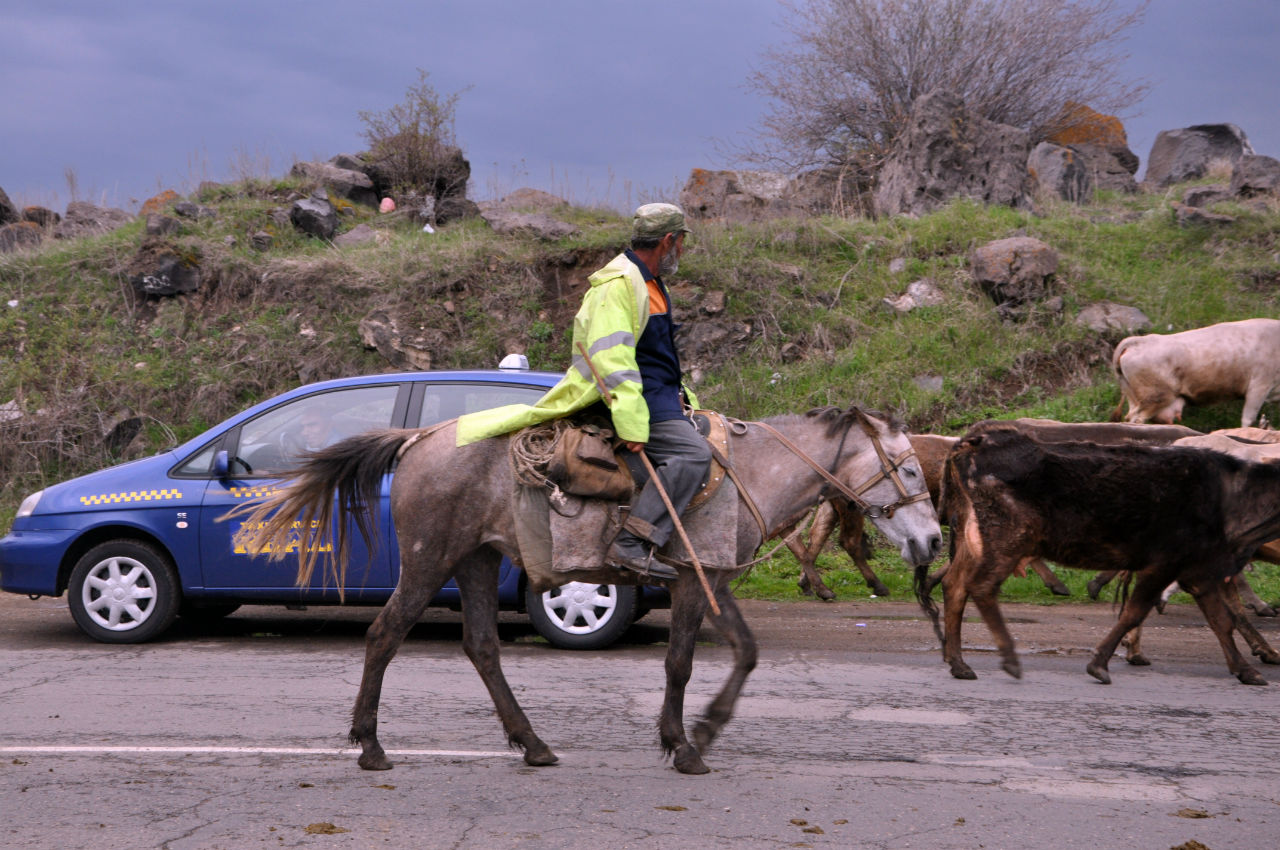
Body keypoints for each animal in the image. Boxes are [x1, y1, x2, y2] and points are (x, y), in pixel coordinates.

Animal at [232, 407, 942, 778]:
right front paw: (684, 744)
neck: (746, 474)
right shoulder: (695, 583)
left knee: (482, 647)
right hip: (431, 560)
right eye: (909, 469)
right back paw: (371, 745)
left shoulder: (709, 577)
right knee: (385, 634)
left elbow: (744, 653)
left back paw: (533, 744)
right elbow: (680, 663)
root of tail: (417, 439)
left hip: (478, 561)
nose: (934, 539)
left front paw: (704, 729)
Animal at [916, 422, 1280, 686]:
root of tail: (974, 440)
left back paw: (958, 662)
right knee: (981, 588)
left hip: (974, 538)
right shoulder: (1165, 564)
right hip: (1009, 539)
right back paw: (1007, 658)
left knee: (955, 585)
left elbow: (1222, 621)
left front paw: (1246, 669)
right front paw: (1099, 664)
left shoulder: (1200, 572)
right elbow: (1133, 612)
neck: (1232, 494)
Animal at [1111, 317, 1280, 427]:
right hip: (1155, 396)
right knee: (1136, 418)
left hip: (1135, 396)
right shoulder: (1259, 385)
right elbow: (1248, 419)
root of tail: (1138, 341)